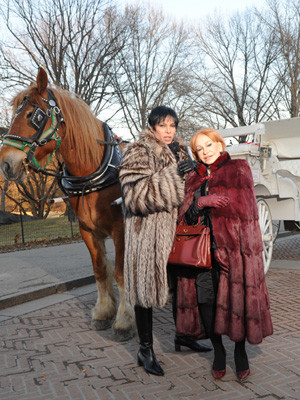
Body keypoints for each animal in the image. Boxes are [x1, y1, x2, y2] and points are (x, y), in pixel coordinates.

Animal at [0, 67, 135, 340]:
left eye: (34, 115)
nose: (6, 164)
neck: (93, 174)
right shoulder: (87, 231)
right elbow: (100, 269)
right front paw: (103, 312)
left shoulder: (120, 230)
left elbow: (119, 271)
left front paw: (124, 320)